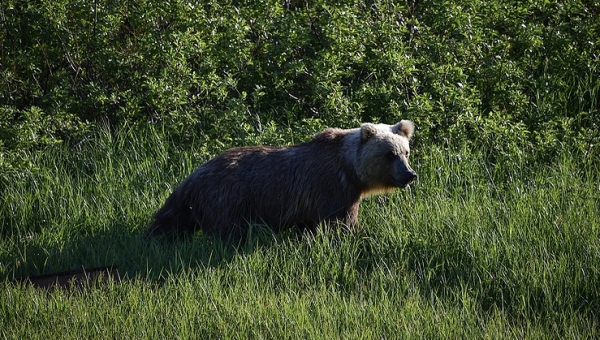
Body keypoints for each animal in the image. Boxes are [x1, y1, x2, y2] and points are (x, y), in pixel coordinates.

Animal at [146, 120, 418, 242]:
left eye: (405, 152)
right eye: (389, 154)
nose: (409, 174)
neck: (351, 169)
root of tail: (193, 176)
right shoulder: (333, 187)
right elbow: (341, 222)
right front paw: (361, 234)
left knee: (171, 218)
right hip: (228, 198)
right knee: (229, 230)